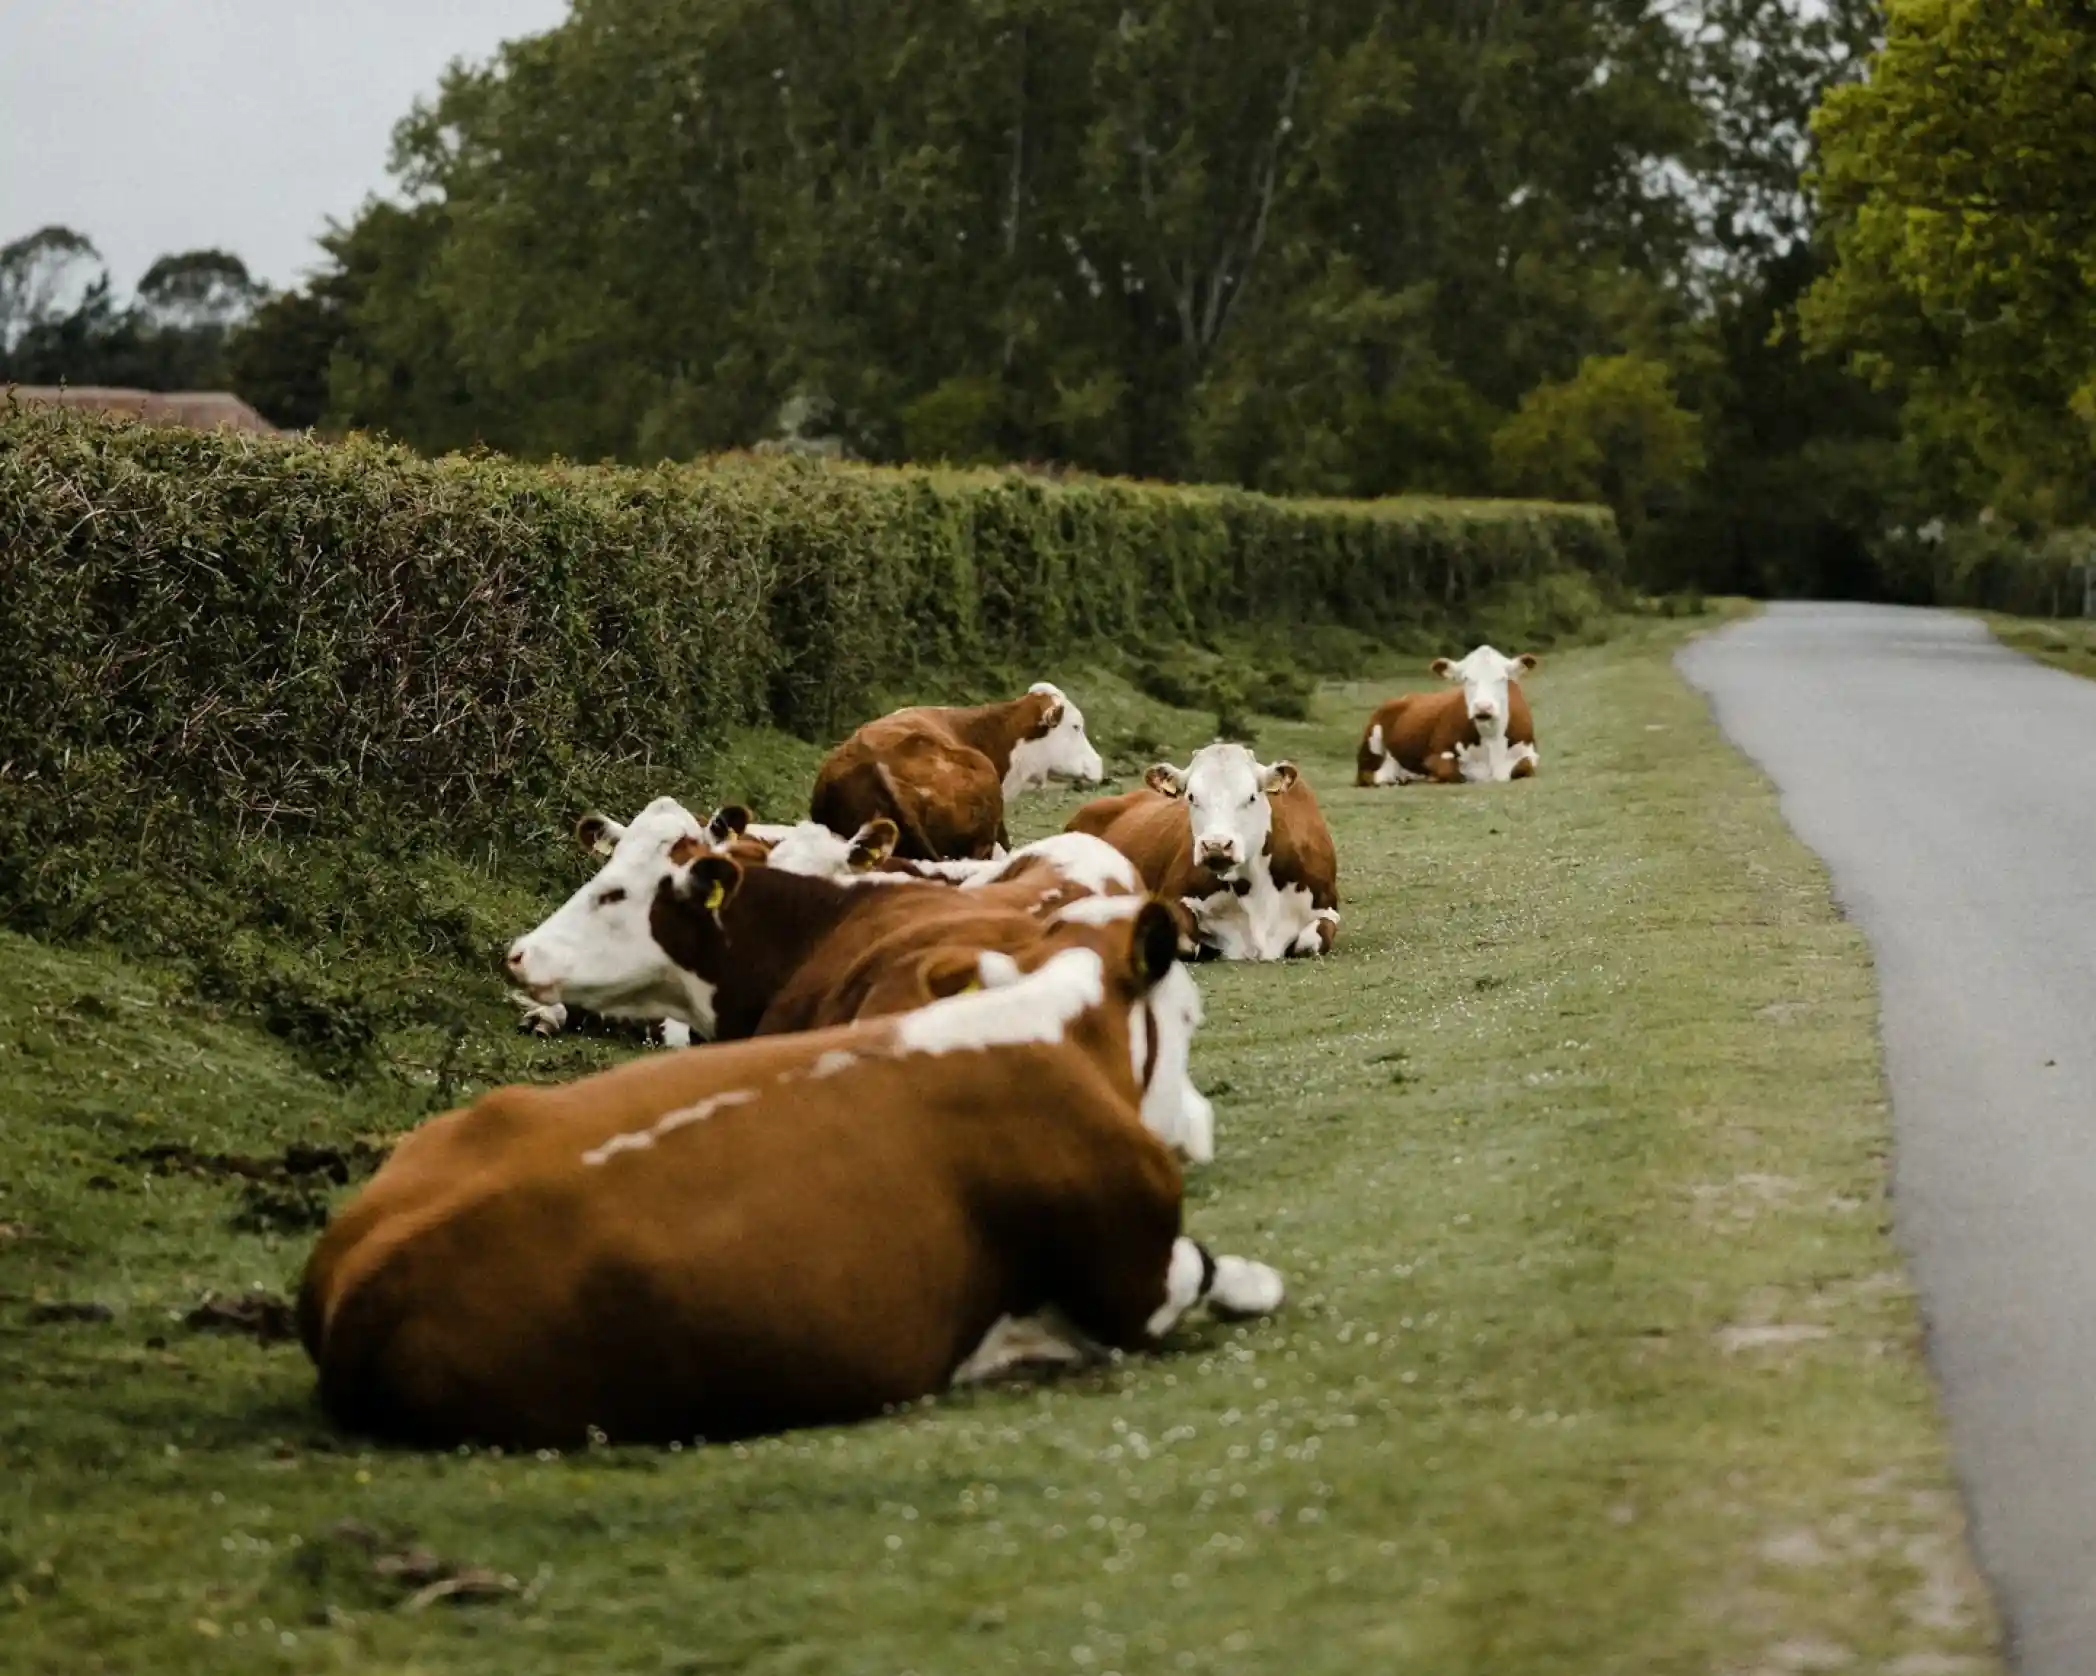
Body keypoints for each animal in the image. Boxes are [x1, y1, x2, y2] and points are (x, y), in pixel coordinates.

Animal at [298, 904, 1283, 1448]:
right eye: (1188, 1017)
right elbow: (1222, 1274)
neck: (1048, 1026)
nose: (1198, 1125)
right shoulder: (1133, 1278)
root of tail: (364, 1276)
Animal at [1067, 744, 1340, 962]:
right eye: (1191, 796)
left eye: (1251, 797)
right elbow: (1186, 943)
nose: (1216, 845)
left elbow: (1309, 941)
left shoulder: (1328, 910)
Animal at [1356, 646, 1540, 786]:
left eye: (1502, 678)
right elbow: (1452, 771)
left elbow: (1525, 765)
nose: (1483, 707)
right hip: (1371, 745)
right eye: (1466, 678)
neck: (1491, 740)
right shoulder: (1434, 755)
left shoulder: (1530, 752)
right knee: (1368, 775)